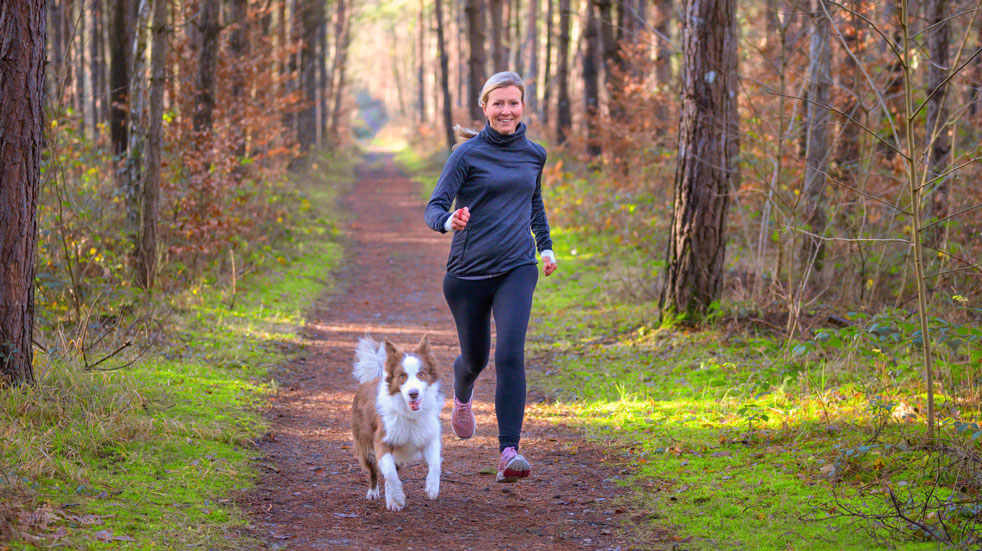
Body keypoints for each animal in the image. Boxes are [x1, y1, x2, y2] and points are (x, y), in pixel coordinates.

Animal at [352, 334, 444, 512]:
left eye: (421, 374)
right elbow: (390, 474)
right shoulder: (382, 441)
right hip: (365, 443)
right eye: (402, 376)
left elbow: (436, 463)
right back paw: (374, 493)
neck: (410, 413)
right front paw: (399, 498)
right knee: (374, 471)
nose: (413, 393)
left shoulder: (429, 437)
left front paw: (432, 487)